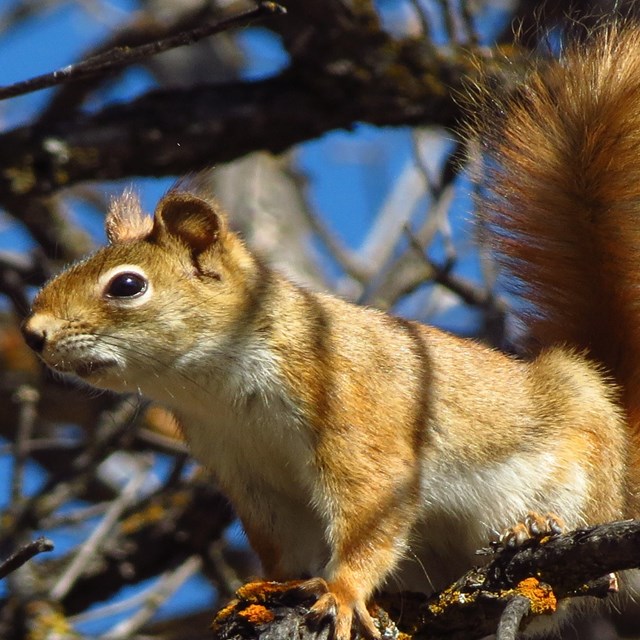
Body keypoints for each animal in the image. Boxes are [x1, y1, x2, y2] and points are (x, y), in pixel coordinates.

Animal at [20, 21, 640, 640]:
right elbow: (283, 550)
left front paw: (341, 592)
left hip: (583, 451)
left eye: (127, 286)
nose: (32, 333)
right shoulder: (253, 477)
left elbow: (370, 511)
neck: (218, 388)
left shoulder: (356, 418)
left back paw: (534, 525)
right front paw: (258, 592)